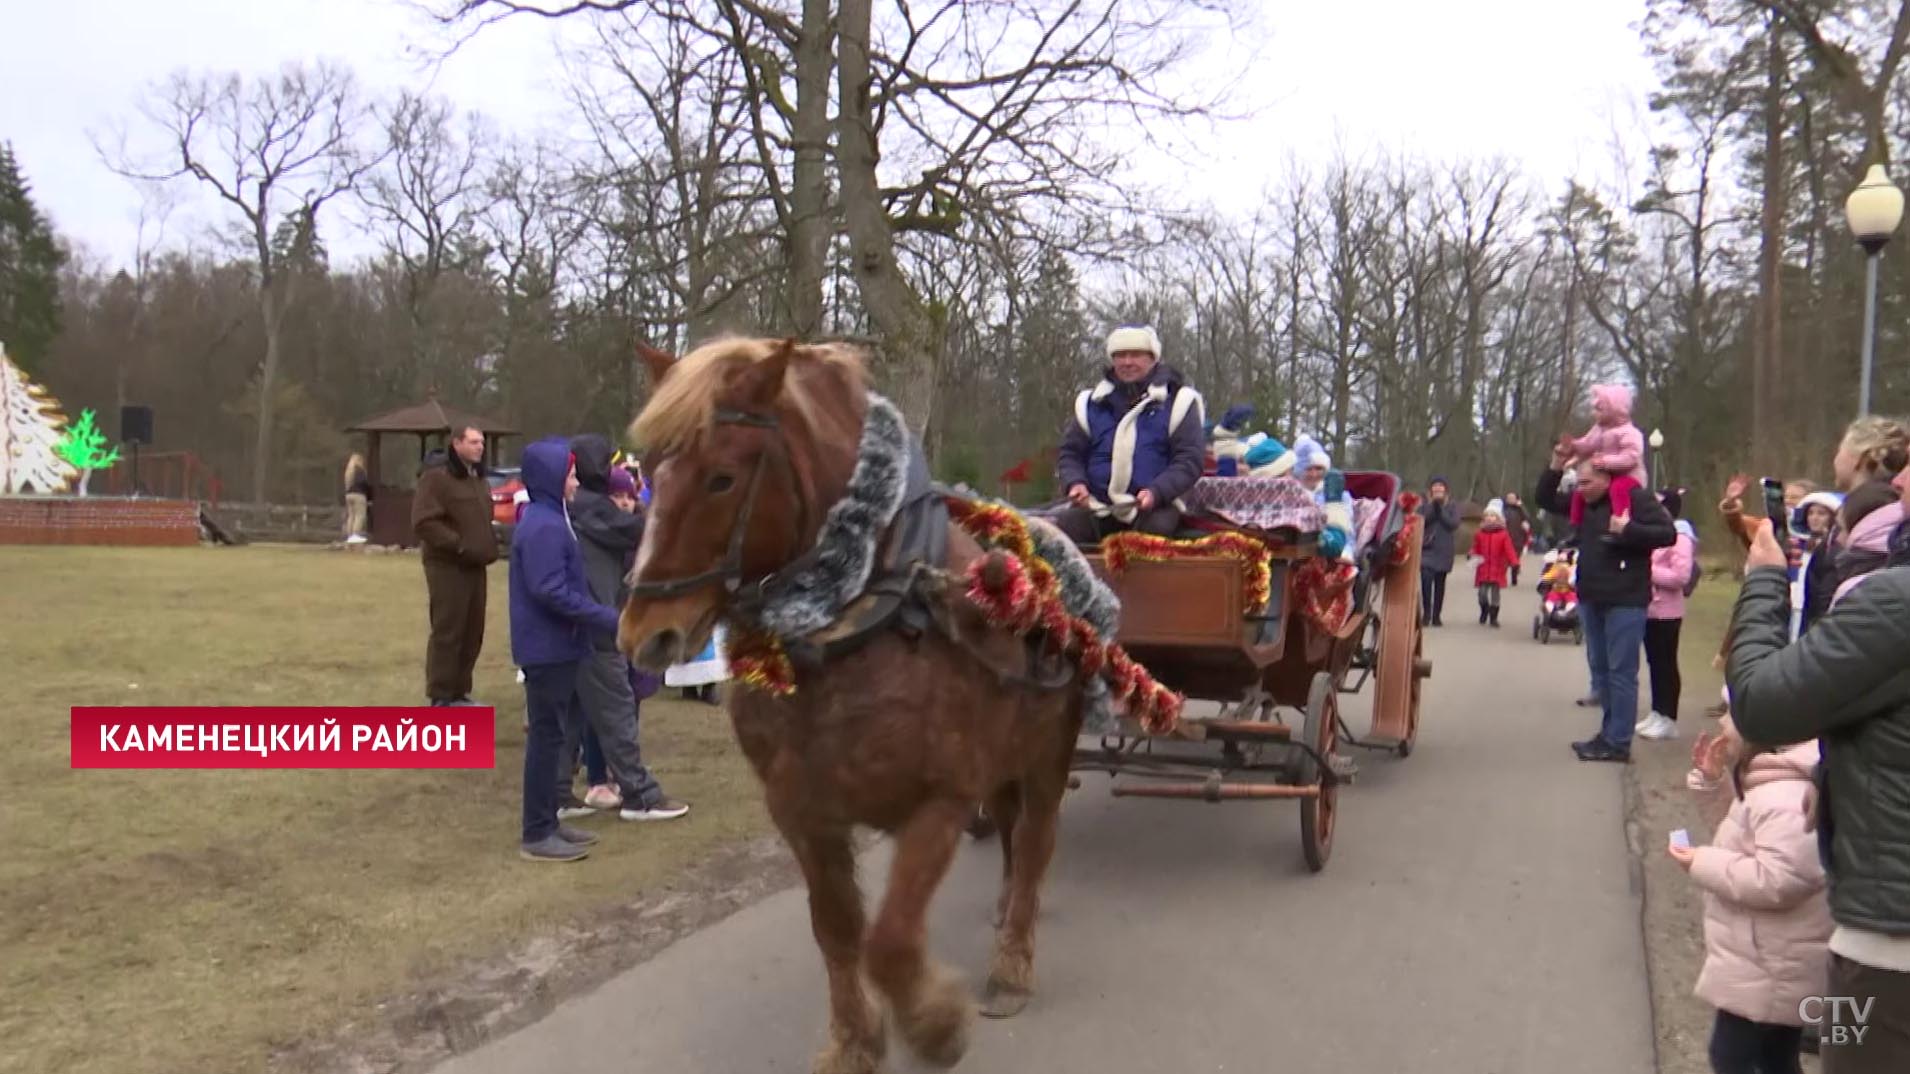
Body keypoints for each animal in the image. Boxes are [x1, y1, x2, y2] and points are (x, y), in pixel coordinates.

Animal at [618, 336, 1084, 1070]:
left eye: (722, 478)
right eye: (649, 472)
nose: (643, 634)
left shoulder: (941, 800)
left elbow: (889, 941)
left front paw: (935, 1025)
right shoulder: (803, 813)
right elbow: (837, 931)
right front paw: (855, 1041)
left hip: (1048, 750)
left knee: (1036, 839)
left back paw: (1012, 963)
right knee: (1013, 832)